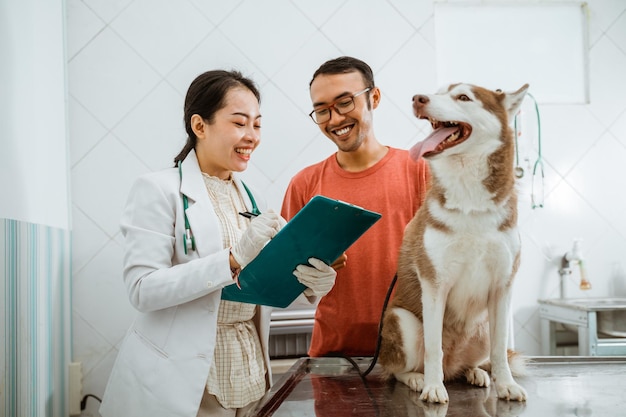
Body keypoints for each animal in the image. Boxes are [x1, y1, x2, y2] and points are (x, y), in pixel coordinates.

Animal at [376, 82, 528, 404]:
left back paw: (475, 372)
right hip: (402, 322)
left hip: (483, 327)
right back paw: (418, 378)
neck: (470, 200)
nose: (418, 98)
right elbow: (434, 347)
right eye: (438, 91)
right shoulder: (435, 283)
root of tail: (453, 366)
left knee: (476, 360)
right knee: (397, 369)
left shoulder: (502, 285)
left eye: (463, 97)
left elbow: (500, 351)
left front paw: (506, 384)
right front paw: (433, 387)